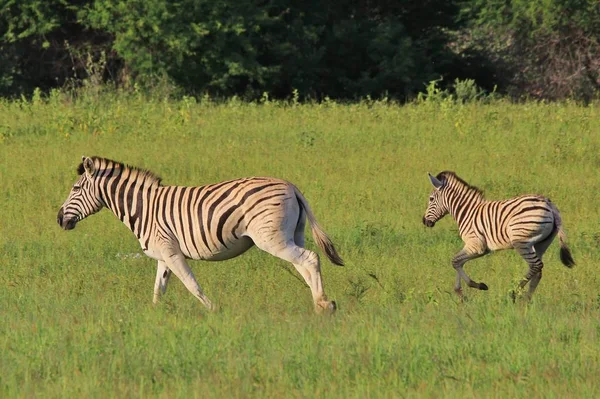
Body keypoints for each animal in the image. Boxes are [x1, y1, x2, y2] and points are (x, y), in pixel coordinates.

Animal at [59, 156, 346, 312]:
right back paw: (320, 304)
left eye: (75, 188)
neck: (143, 208)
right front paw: (153, 317)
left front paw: (214, 310)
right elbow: (158, 290)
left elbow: (191, 284)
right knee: (304, 265)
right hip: (292, 236)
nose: (59, 219)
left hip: (272, 239)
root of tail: (291, 186)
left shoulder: (171, 252)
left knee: (310, 259)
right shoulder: (164, 255)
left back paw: (324, 305)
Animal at [420, 172, 576, 300]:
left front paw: (477, 286)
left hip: (521, 242)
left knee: (535, 265)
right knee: (538, 271)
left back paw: (514, 293)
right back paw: (527, 299)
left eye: (431, 199)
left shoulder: (476, 246)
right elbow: (458, 262)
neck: (467, 212)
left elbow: (455, 261)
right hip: (541, 244)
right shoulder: (476, 247)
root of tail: (549, 204)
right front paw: (460, 293)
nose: (424, 221)